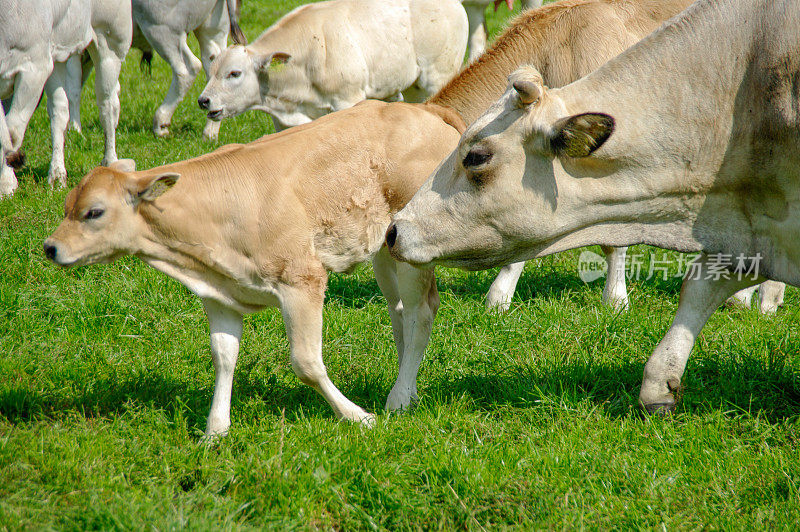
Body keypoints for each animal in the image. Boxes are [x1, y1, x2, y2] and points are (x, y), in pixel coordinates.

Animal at [43, 100, 466, 436]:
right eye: (65, 206)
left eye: (94, 212)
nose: (50, 247)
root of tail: (422, 108)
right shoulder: (221, 294)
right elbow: (223, 357)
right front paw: (215, 429)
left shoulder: (302, 279)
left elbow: (306, 362)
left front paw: (356, 416)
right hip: (384, 249)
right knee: (400, 314)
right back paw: (407, 387)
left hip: (411, 251)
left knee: (421, 312)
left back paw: (398, 399)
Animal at [196, 0, 466, 132]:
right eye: (212, 71)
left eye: (234, 73)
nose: (203, 101)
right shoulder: (283, 122)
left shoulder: (348, 99)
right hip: (413, 87)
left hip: (437, 76)